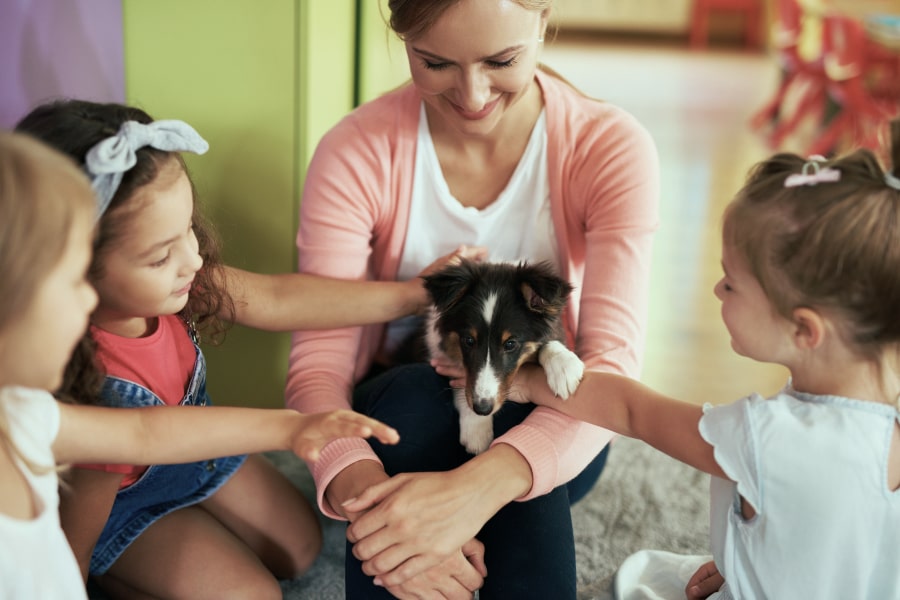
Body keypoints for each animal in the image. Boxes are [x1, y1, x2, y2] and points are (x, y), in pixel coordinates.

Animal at [420, 258, 584, 454]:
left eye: (510, 344)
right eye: (469, 340)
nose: (482, 409)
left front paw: (564, 367)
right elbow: (461, 382)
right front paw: (477, 428)